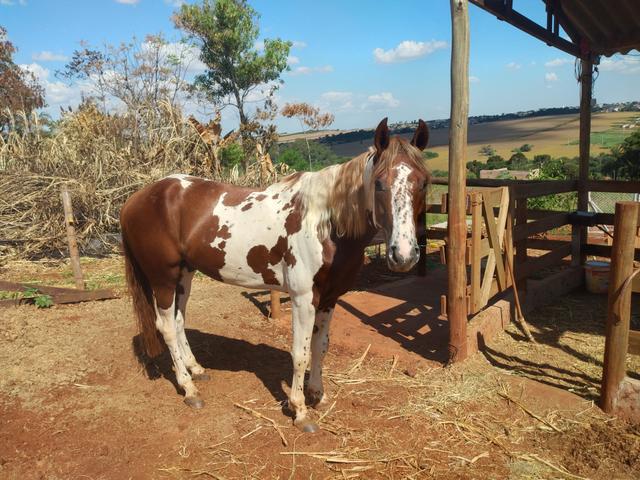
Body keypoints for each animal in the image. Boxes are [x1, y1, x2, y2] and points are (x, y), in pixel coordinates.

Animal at [120, 118, 430, 434]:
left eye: (424, 182)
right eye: (379, 183)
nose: (404, 255)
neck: (325, 223)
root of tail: (135, 199)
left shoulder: (330, 298)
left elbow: (320, 347)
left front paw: (318, 394)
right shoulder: (303, 299)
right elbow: (300, 353)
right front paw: (300, 411)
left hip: (185, 275)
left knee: (179, 320)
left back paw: (196, 370)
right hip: (163, 278)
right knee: (166, 327)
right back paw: (189, 389)